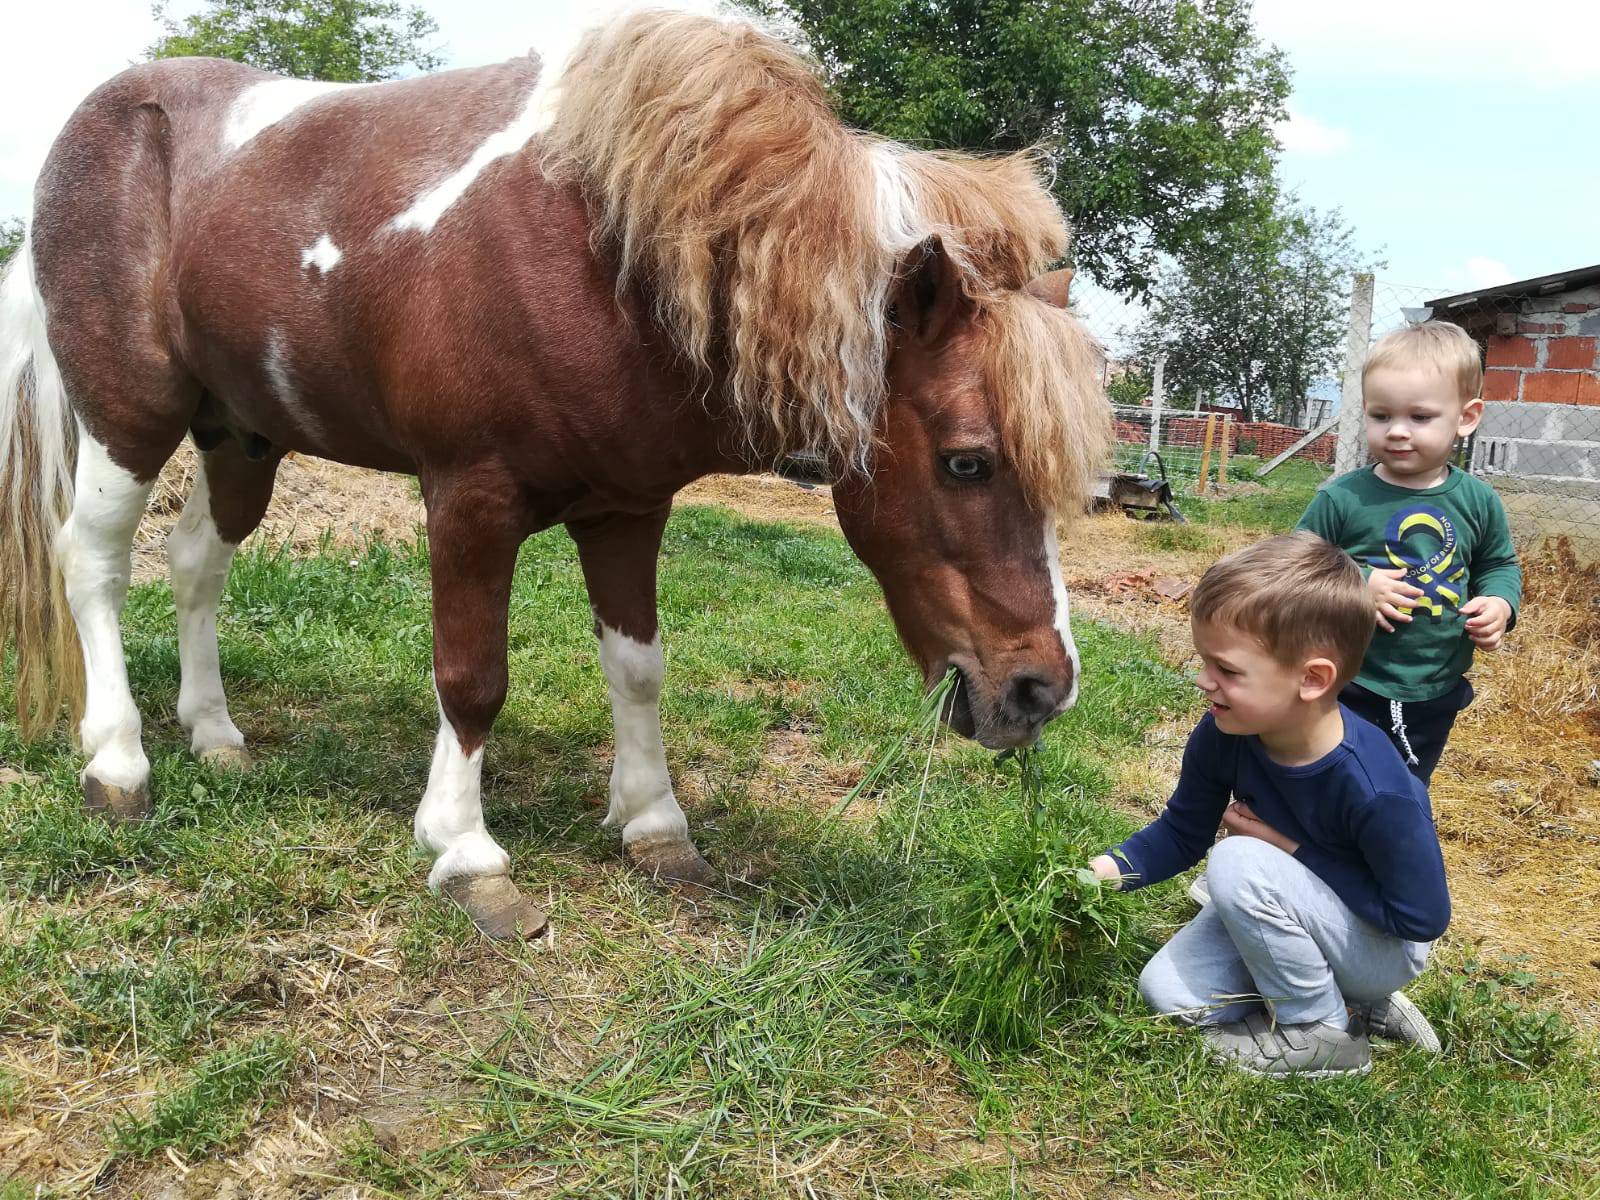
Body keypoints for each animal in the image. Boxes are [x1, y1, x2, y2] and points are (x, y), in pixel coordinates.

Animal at [0, 9, 1107, 934]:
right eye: (968, 461)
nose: (1040, 692)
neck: (610, 251)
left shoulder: (627, 509)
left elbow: (639, 668)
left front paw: (655, 824)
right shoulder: (468, 499)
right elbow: (472, 675)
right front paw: (465, 850)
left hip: (241, 436)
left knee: (195, 563)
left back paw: (216, 734)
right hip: (130, 417)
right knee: (95, 563)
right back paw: (119, 762)